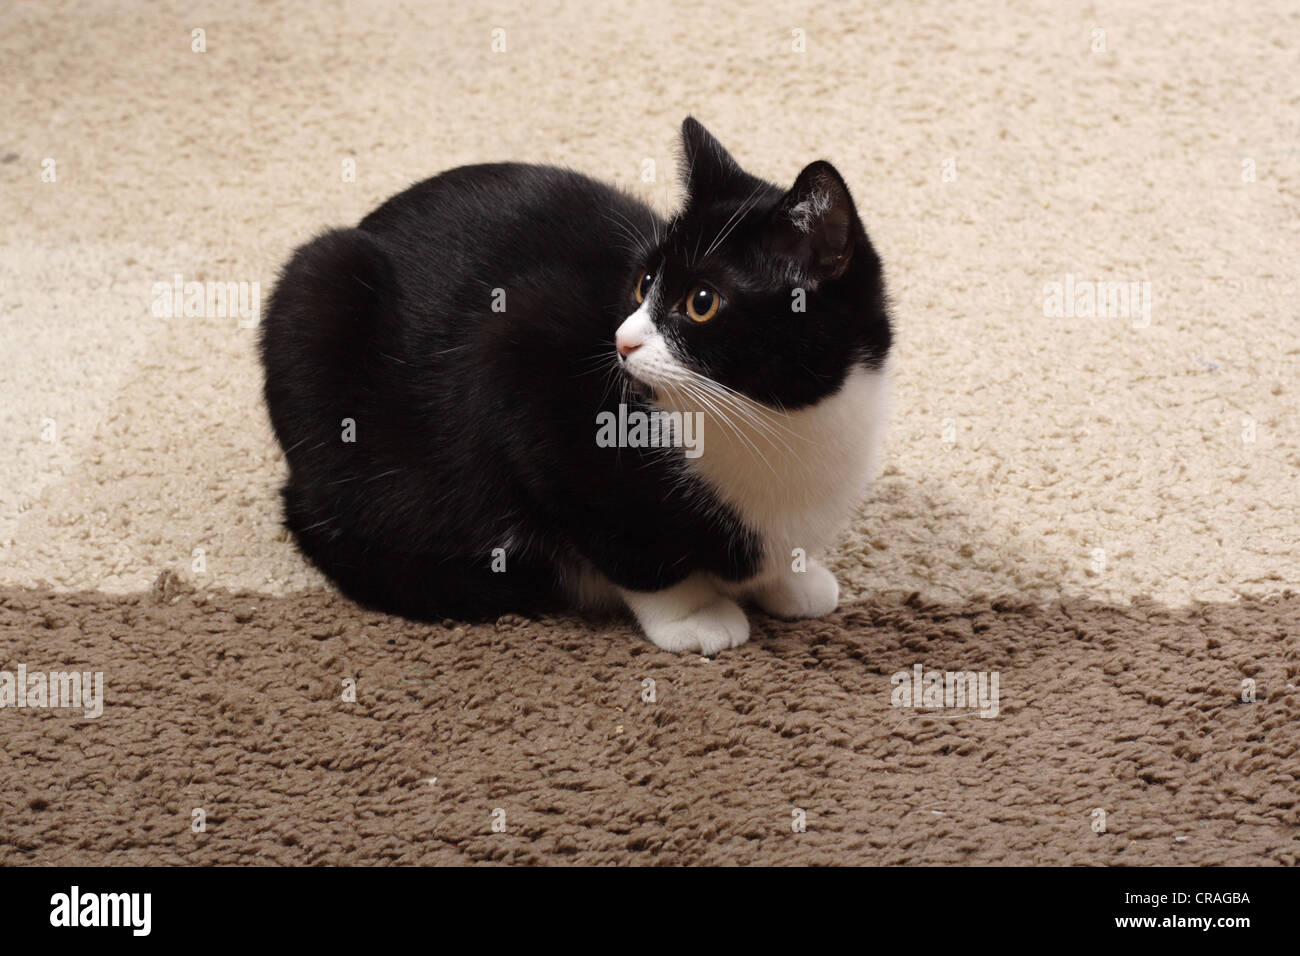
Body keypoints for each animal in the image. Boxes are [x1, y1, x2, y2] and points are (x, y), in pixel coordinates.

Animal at [263, 117, 894, 658]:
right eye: (642, 282)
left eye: (701, 302)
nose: (622, 341)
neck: (773, 419)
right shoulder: (517, 363)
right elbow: (628, 546)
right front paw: (694, 614)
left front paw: (792, 581)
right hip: (317, 289)